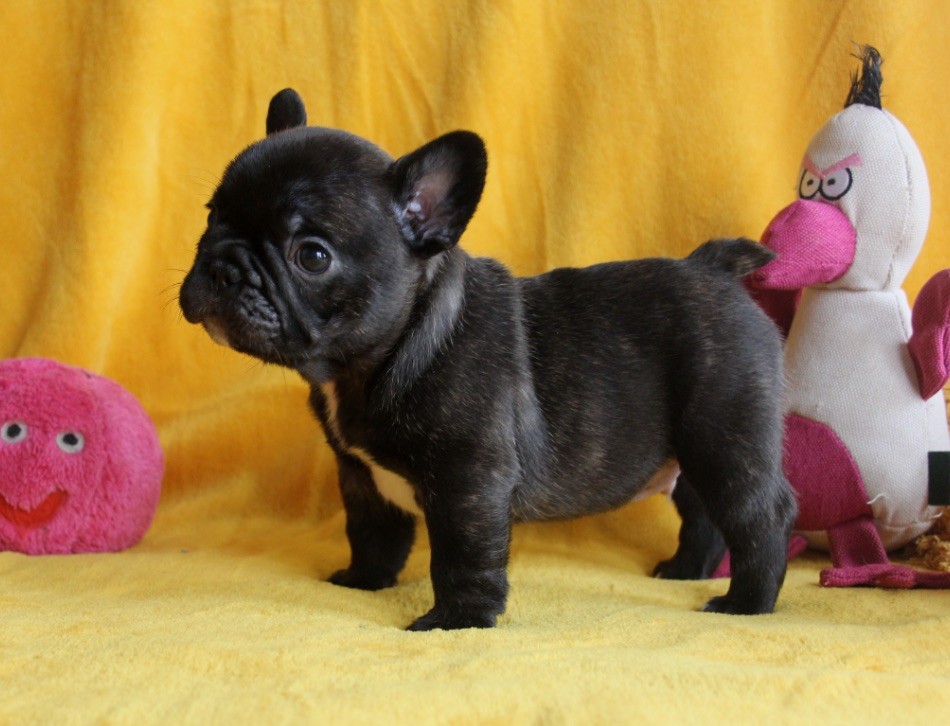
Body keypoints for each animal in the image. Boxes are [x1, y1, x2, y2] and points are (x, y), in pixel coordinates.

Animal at [179, 88, 796, 631]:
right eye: (210, 216)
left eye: (311, 255)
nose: (224, 266)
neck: (377, 358)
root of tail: (714, 269)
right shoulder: (359, 475)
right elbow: (373, 533)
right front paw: (362, 581)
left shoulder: (469, 480)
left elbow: (462, 557)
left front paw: (455, 622)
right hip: (692, 451)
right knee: (705, 514)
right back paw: (685, 571)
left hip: (724, 433)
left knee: (759, 515)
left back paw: (744, 605)